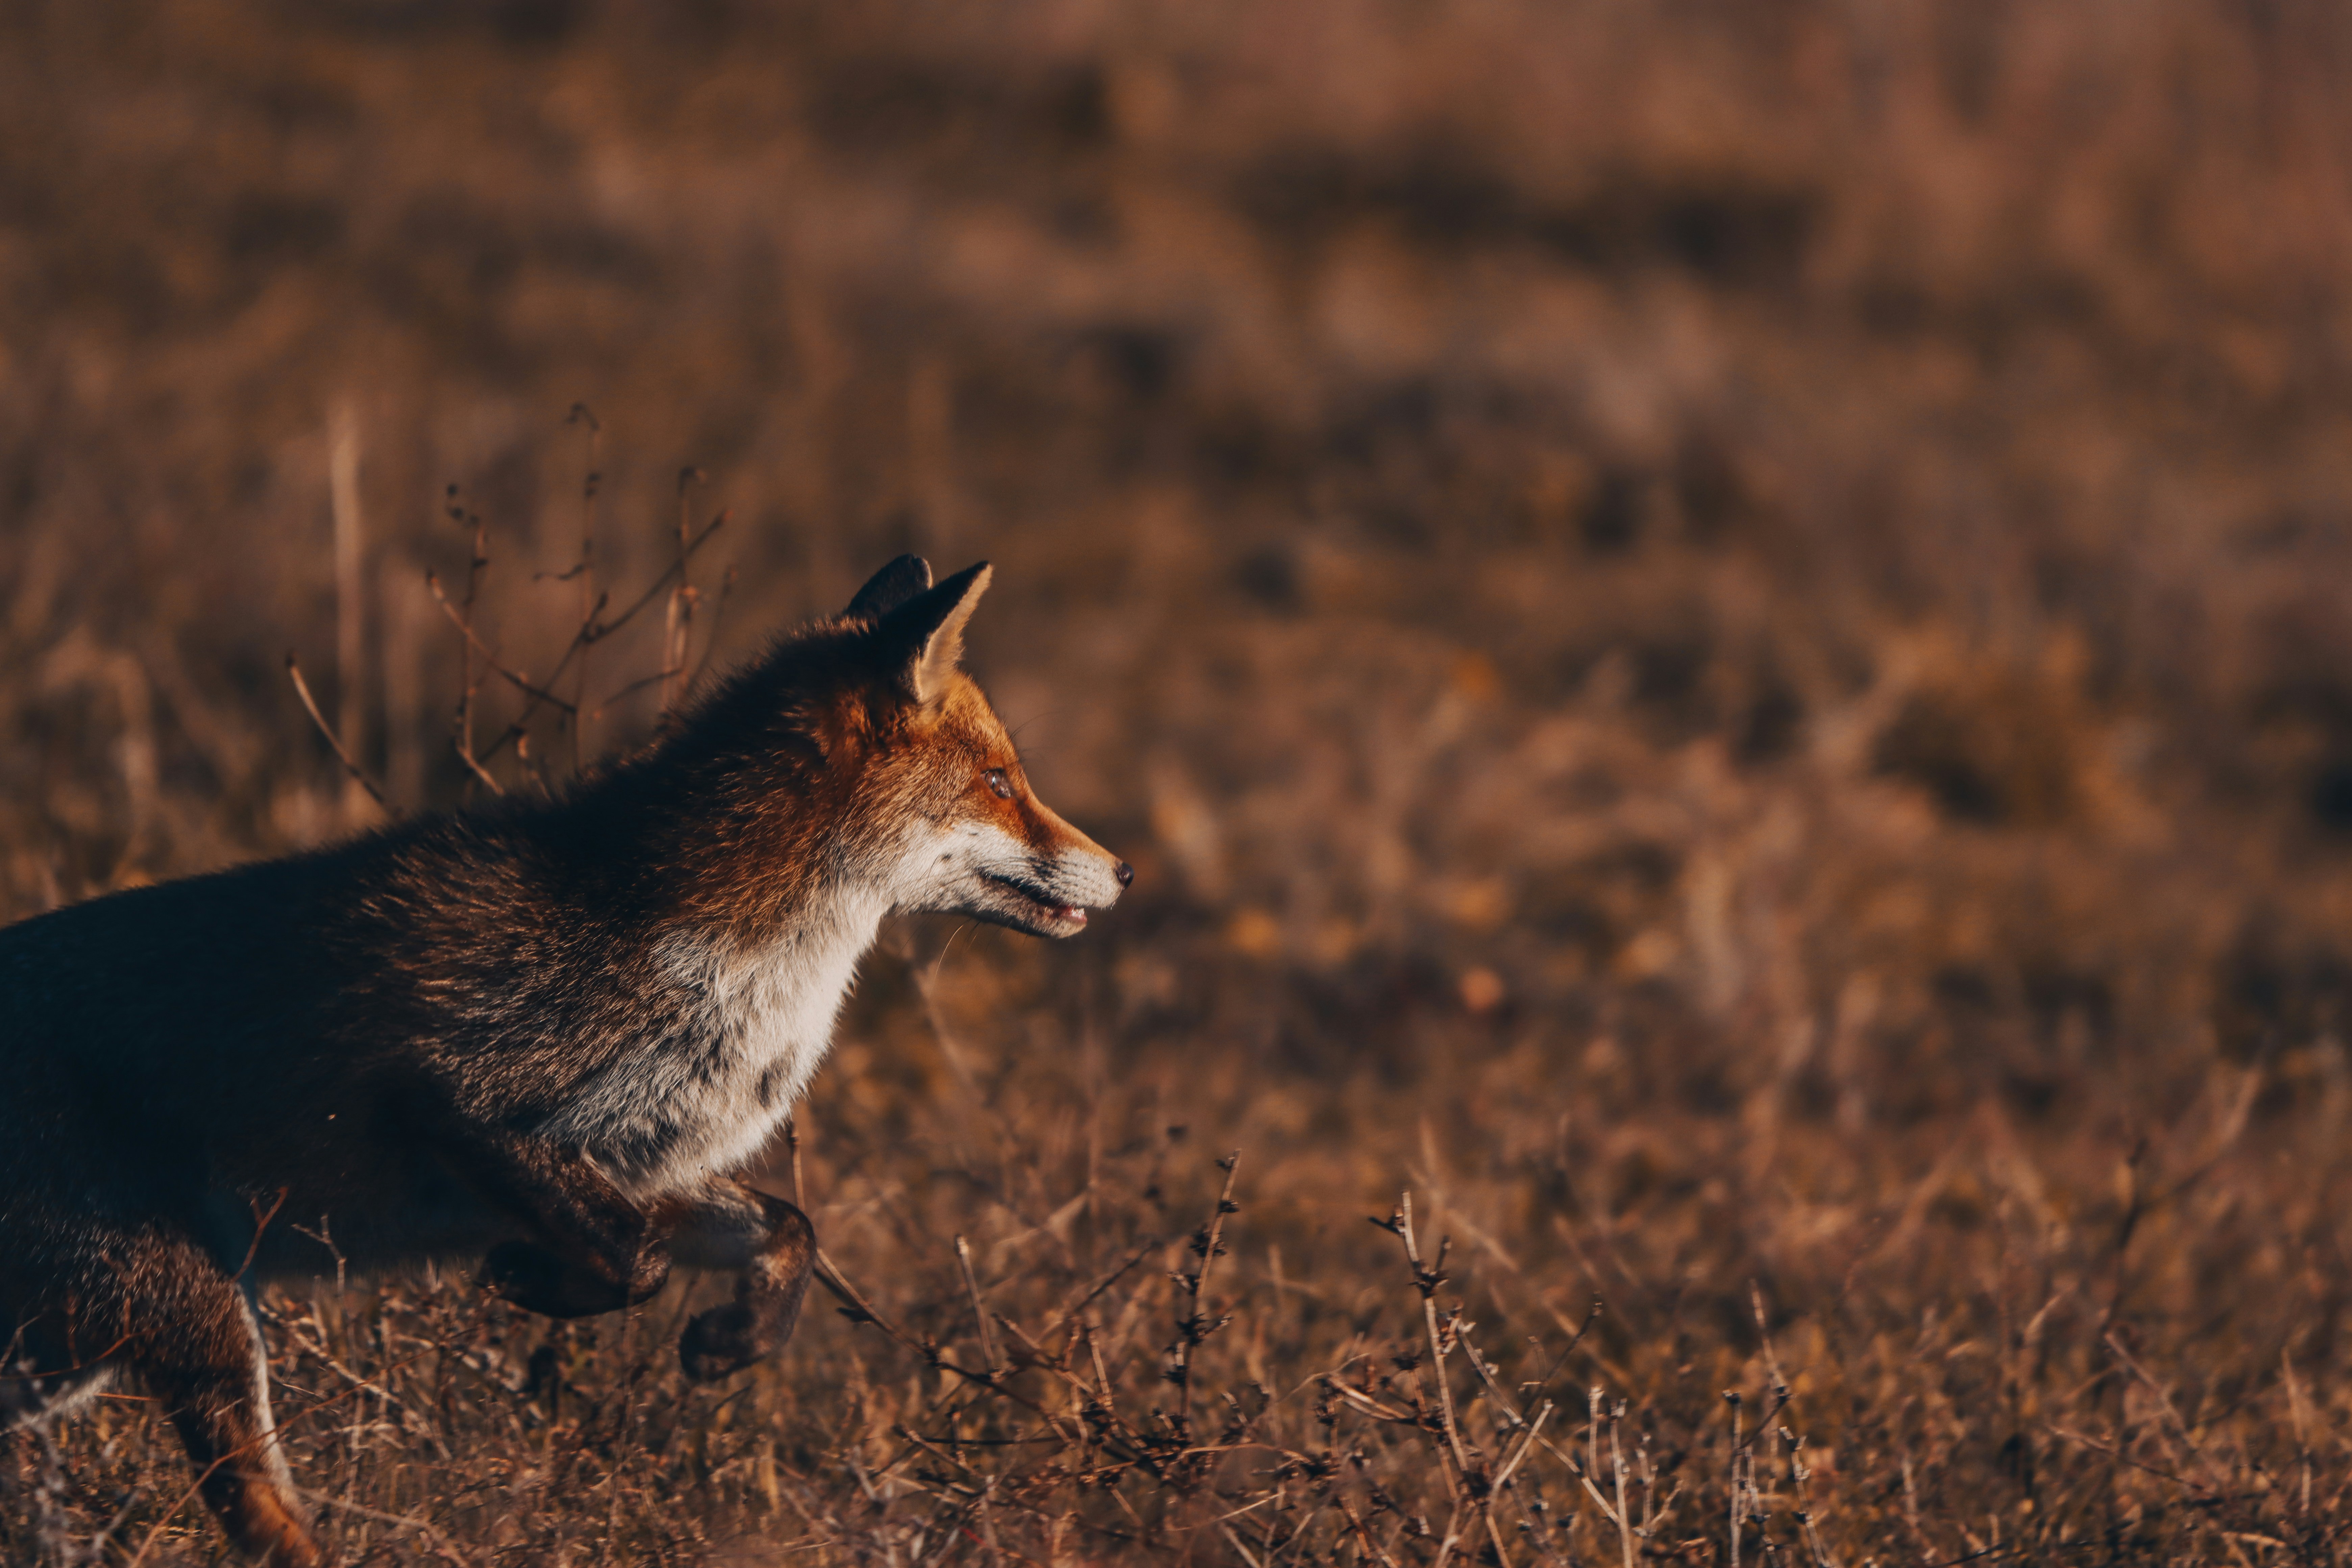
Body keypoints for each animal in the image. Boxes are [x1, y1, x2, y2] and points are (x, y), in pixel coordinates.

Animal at [0, 556, 1129, 1566]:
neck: (726, 961)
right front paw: (530, 1279)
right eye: (999, 782)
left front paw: (730, 1341)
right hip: (197, 1327)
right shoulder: (458, 1100)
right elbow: (636, 1261)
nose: (1122, 869)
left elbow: (784, 1230)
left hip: (65, 1355)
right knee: (270, 1526)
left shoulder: (644, 1160)